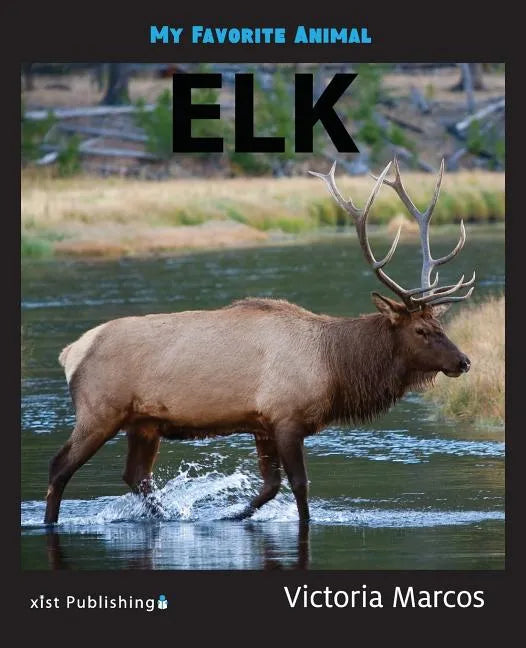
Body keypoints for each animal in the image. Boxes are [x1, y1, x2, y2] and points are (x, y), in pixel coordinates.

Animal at [44, 159, 475, 525]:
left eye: (439, 323)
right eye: (421, 331)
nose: (464, 361)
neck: (335, 367)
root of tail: (70, 352)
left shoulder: (261, 424)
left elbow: (269, 487)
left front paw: (231, 515)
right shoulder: (286, 417)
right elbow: (298, 486)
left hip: (144, 423)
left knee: (136, 476)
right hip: (99, 410)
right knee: (60, 466)